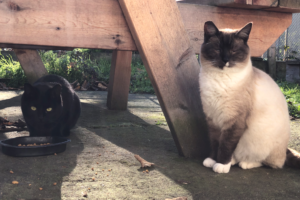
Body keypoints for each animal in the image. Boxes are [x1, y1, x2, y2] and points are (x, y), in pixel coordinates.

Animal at [199, 20, 300, 173]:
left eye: (234, 51)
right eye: (217, 49)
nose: (225, 60)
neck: (219, 79)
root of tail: (285, 150)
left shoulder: (234, 121)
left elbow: (225, 144)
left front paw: (221, 165)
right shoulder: (212, 119)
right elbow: (215, 142)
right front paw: (211, 160)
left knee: (270, 163)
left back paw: (244, 163)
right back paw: (233, 161)